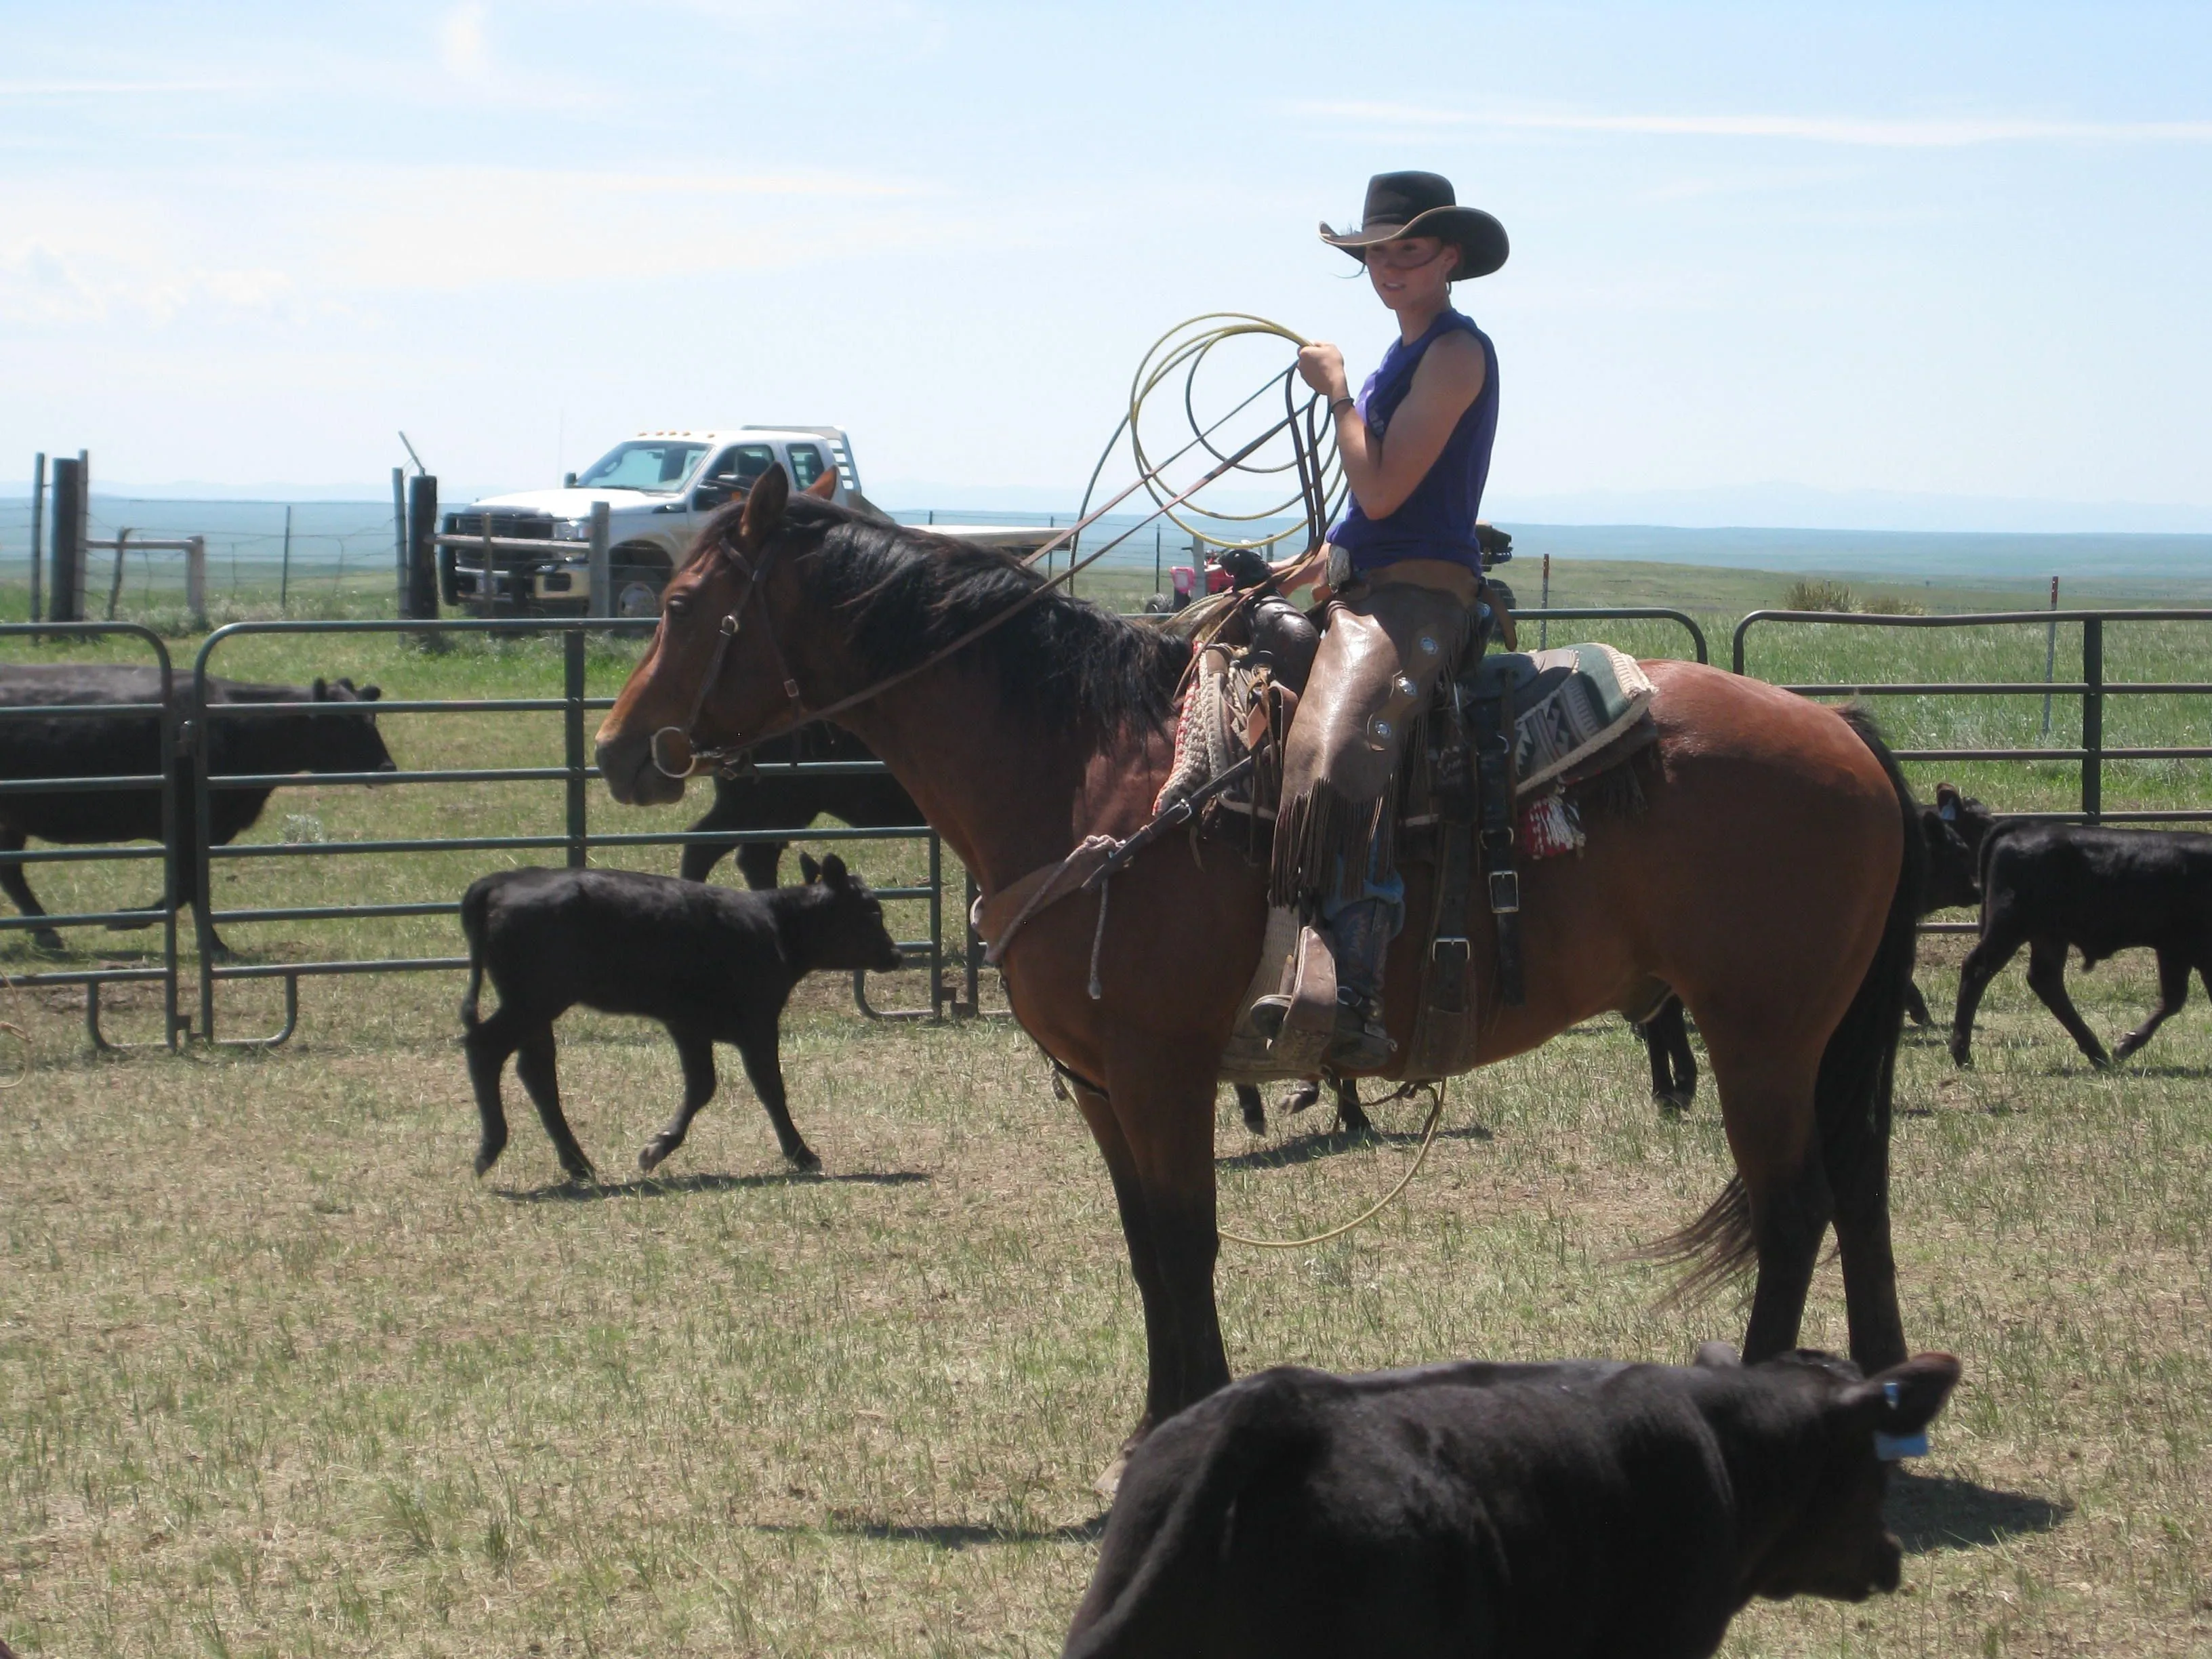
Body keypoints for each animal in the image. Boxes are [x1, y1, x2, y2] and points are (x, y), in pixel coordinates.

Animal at [0, 664, 393, 955]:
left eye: (372, 717)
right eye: (343, 722)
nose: (387, 767)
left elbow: (189, 888)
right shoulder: (188, 826)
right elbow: (187, 888)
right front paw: (130, 920)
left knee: (12, 874)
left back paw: (47, 934)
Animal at [458, 854, 904, 1183]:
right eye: (871, 911)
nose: (896, 955)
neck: (775, 926)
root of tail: (501, 881)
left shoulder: (688, 1025)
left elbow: (702, 1086)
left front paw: (657, 1148)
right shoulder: (758, 1022)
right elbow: (770, 1089)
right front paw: (802, 1154)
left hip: (536, 1007)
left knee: (536, 1071)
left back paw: (577, 1163)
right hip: (533, 1001)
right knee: (486, 1047)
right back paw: (489, 1149)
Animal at [1949, 818, 2212, 1069]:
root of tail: (2026, 826)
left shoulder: (2175, 951)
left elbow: (2173, 999)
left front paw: (2126, 1045)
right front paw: (2125, 1046)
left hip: (2049, 936)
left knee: (2046, 981)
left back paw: (2097, 1054)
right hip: (2010, 927)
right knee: (1978, 969)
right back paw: (1962, 1054)